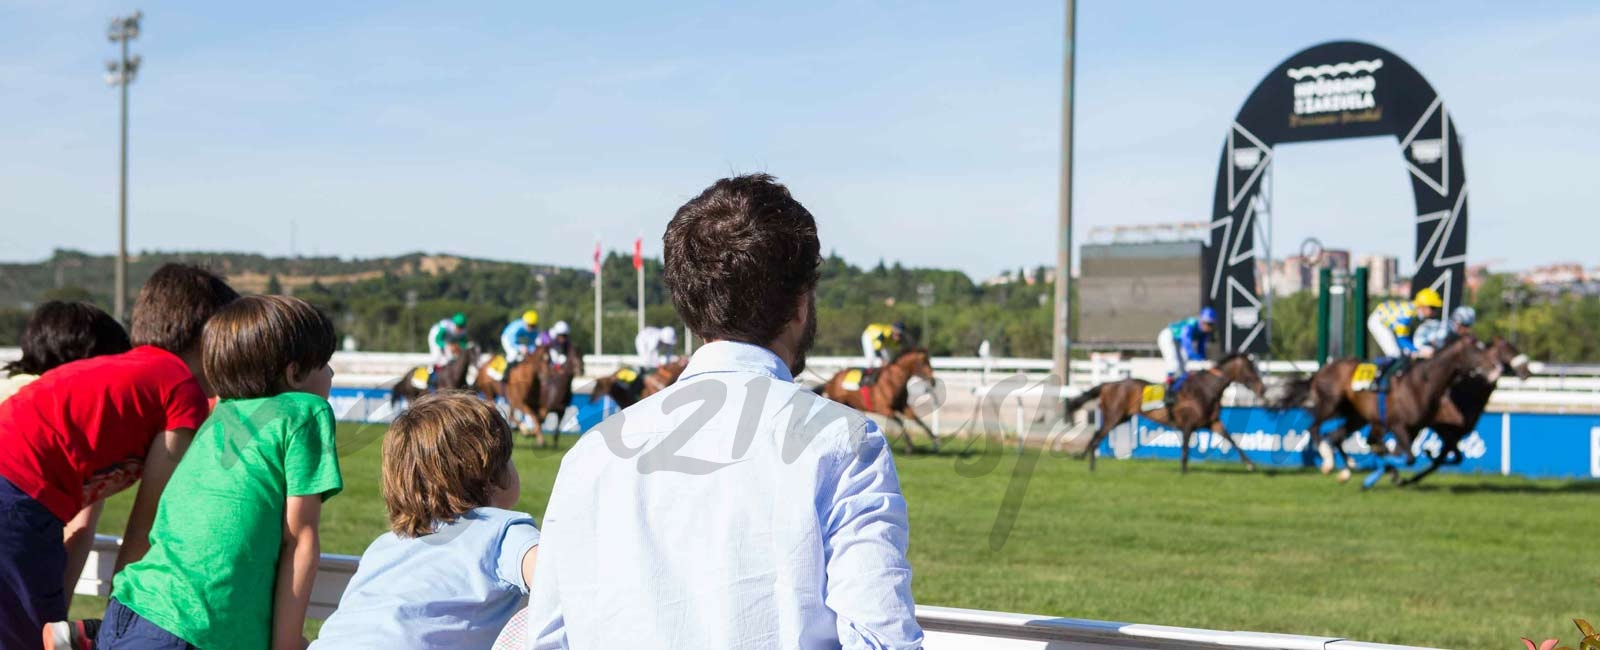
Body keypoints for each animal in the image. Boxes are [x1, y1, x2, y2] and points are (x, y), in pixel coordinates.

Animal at [1068, 352, 1267, 473]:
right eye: (1250, 368)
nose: (1263, 388)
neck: (1206, 389)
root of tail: (1108, 384)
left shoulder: (1213, 422)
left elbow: (1231, 438)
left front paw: (1250, 464)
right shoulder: (1188, 425)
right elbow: (1185, 449)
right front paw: (1184, 472)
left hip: (1122, 417)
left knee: (1095, 435)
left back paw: (1085, 459)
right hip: (1113, 417)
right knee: (1096, 438)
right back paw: (1091, 466)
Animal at [1273, 334, 1497, 483]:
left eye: (1485, 348)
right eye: (1475, 350)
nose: (1495, 369)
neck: (1421, 383)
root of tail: (1320, 371)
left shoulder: (1414, 428)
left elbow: (1402, 454)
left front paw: (1391, 469)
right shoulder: (1396, 424)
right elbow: (1406, 456)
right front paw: (1388, 468)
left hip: (1356, 416)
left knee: (1336, 436)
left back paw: (1348, 468)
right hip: (1331, 405)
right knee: (1314, 428)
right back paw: (1329, 463)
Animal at [1395, 337, 1529, 483]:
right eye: (1509, 349)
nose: (1526, 371)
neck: (1465, 395)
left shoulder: (1456, 434)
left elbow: (1453, 459)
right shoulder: (1444, 430)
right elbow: (1442, 460)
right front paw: (1426, 456)